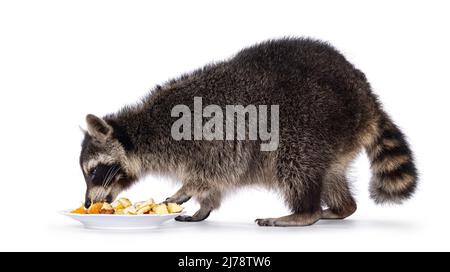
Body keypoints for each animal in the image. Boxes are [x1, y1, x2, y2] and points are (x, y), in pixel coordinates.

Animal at [78, 37, 418, 225]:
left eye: (94, 171)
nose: (88, 204)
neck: (141, 133)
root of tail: (365, 95)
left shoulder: (206, 136)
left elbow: (216, 170)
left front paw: (188, 189)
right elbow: (214, 184)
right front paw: (204, 206)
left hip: (313, 119)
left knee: (295, 164)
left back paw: (304, 213)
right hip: (336, 136)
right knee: (330, 173)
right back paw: (339, 207)